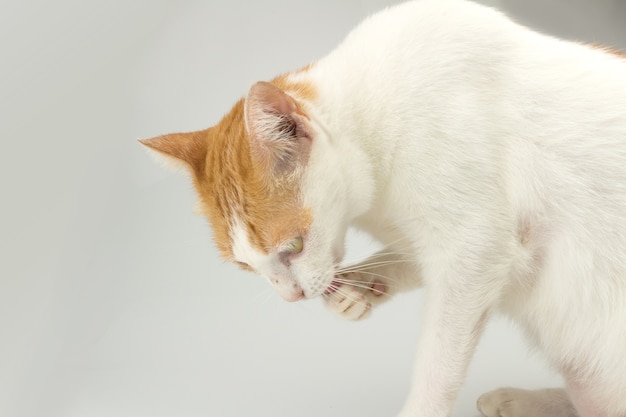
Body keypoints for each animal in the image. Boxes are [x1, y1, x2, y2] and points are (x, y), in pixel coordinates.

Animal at [140, 0, 624, 416]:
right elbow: (409, 259)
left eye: (294, 246)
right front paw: (362, 286)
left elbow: (439, 357)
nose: (289, 296)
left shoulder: (477, 247)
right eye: (244, 266)